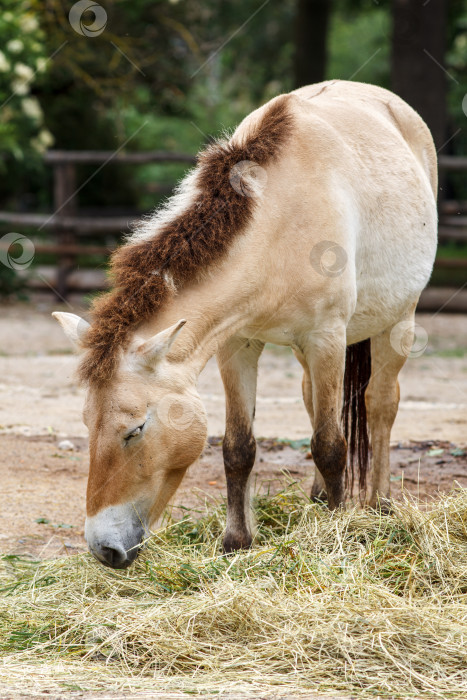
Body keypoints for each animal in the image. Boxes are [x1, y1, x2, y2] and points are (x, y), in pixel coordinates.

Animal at [54, 80, 438, 568]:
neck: (278, 224)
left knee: (379, 405)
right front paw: (236, 543)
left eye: (135, 429)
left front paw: (334, 539)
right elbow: (239, 448)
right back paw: (318, 501)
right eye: (86, 423)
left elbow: (331, 446)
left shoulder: (327, 339)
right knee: (313, 400)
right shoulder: (236, 343)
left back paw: (379, 506)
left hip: (398, 323)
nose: (103, 548)